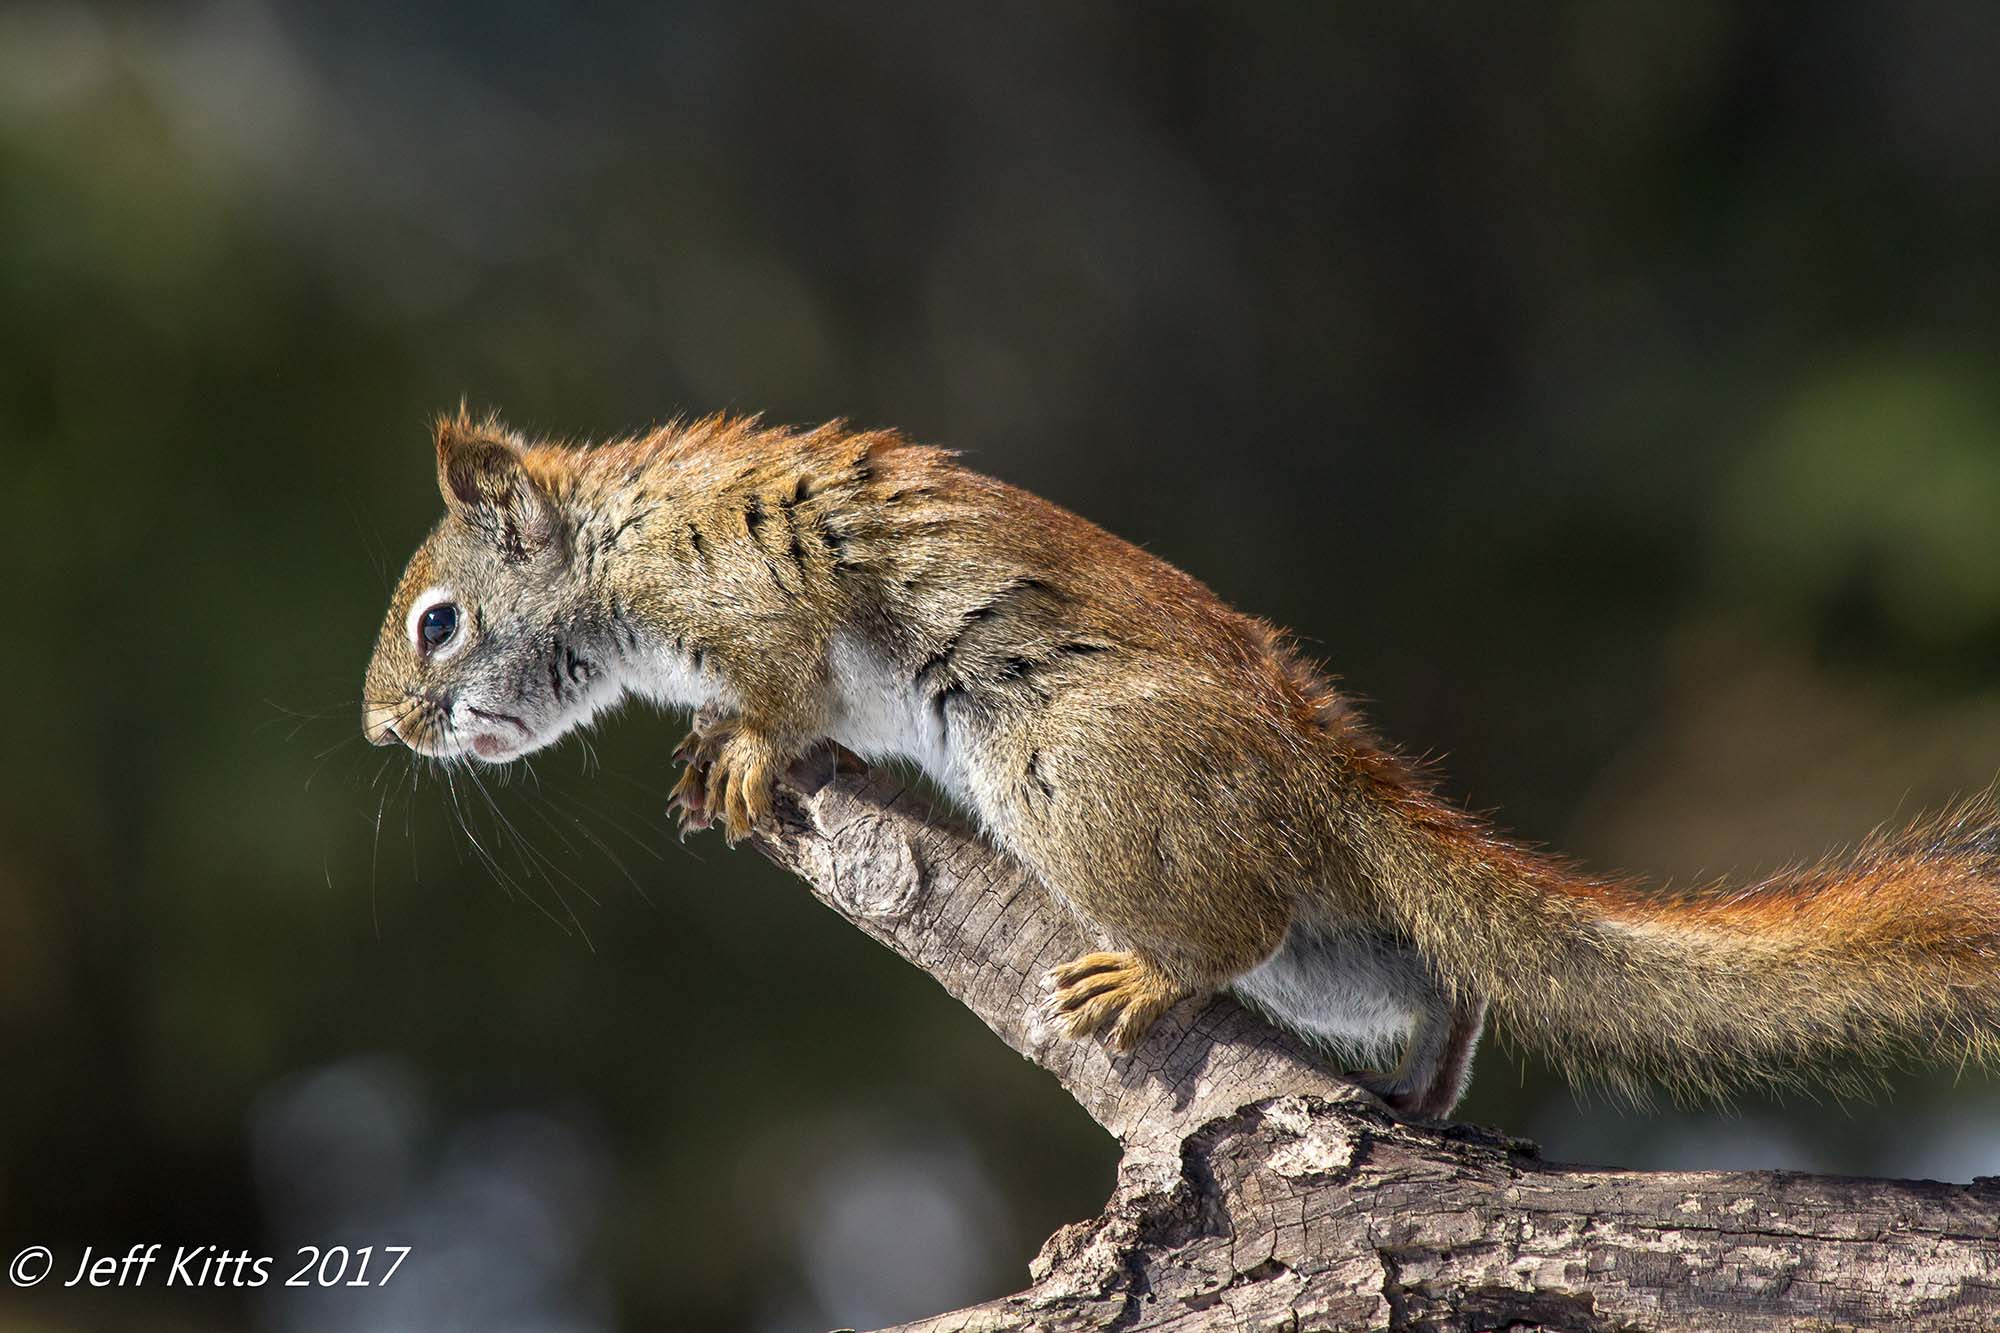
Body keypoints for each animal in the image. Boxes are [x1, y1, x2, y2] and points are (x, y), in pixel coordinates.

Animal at [364, 408, 2000, 1119]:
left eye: (439, 622)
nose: (385, 730)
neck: (618, 545)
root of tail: (1319, 769)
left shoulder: (752, 598)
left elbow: (782, 689)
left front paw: (747, 752)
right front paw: (712, 750)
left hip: (1077, 772)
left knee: (1232, 928)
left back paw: (1149, 977)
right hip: (1327, 947)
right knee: (1409, 967)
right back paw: (1434, 1060)